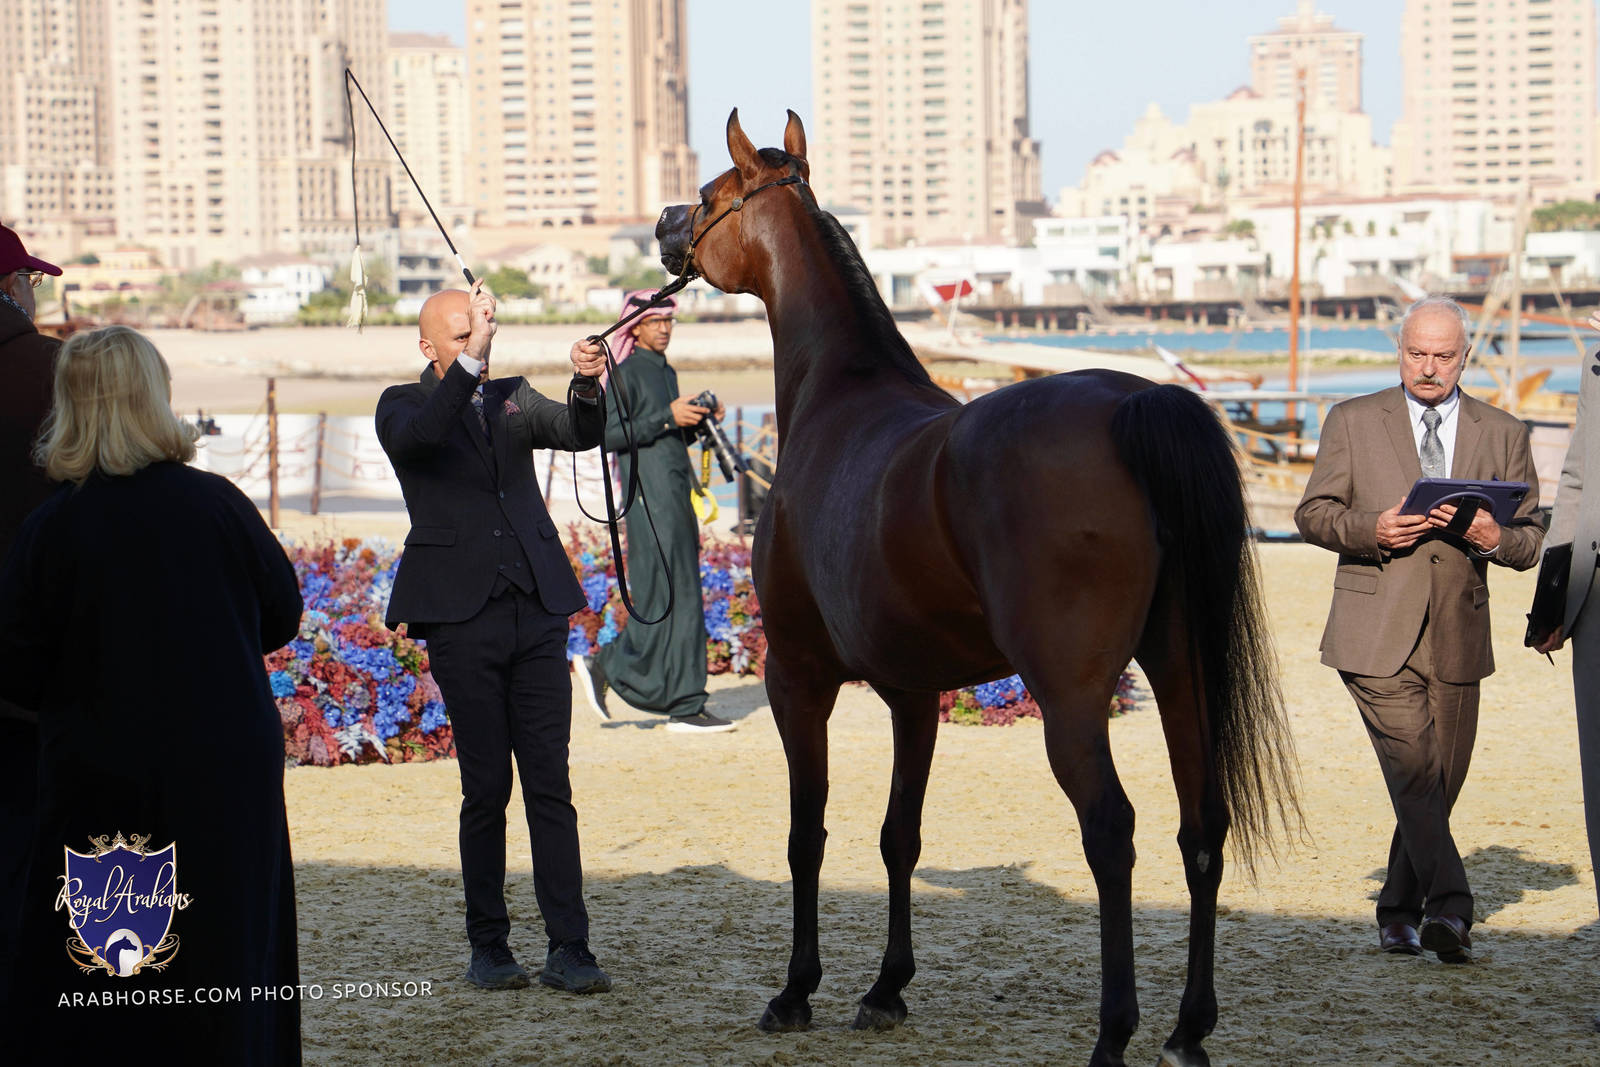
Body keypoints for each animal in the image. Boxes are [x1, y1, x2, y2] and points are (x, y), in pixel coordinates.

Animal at [654, 110, 1300, 1067]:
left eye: (709, 195)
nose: (663, 228)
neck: (837, 396)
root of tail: (1136, 406)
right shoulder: (911, 690)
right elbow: (899, 835)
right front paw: (886, 987)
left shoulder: (797, 677)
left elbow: (808, 835)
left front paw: (797, 989)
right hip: (1183, 670)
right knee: (1201, 826)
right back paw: (1188, 1029)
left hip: (1071, 698)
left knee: (1112, 832)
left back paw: (1115, 1032)